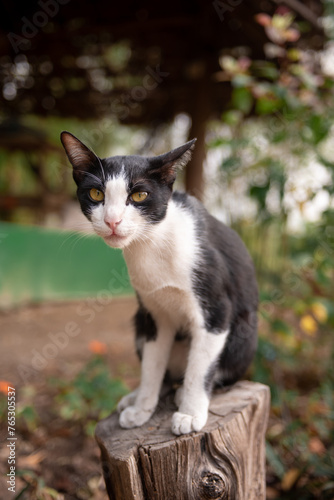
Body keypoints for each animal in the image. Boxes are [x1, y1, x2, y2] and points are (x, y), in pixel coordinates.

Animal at [60, 131, 258, 436]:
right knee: (163, 371)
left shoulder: (216, 308)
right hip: (139, 321)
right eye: (96, 194)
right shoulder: (154, 315)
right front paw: (143, 408)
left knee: (218, 371)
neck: (151, 243)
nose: (112, 221)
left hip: (244, 332)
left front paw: (190, 413)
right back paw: (136, 398)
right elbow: (152, 366)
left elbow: (200, 367)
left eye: (139, 195)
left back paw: (186, 393)